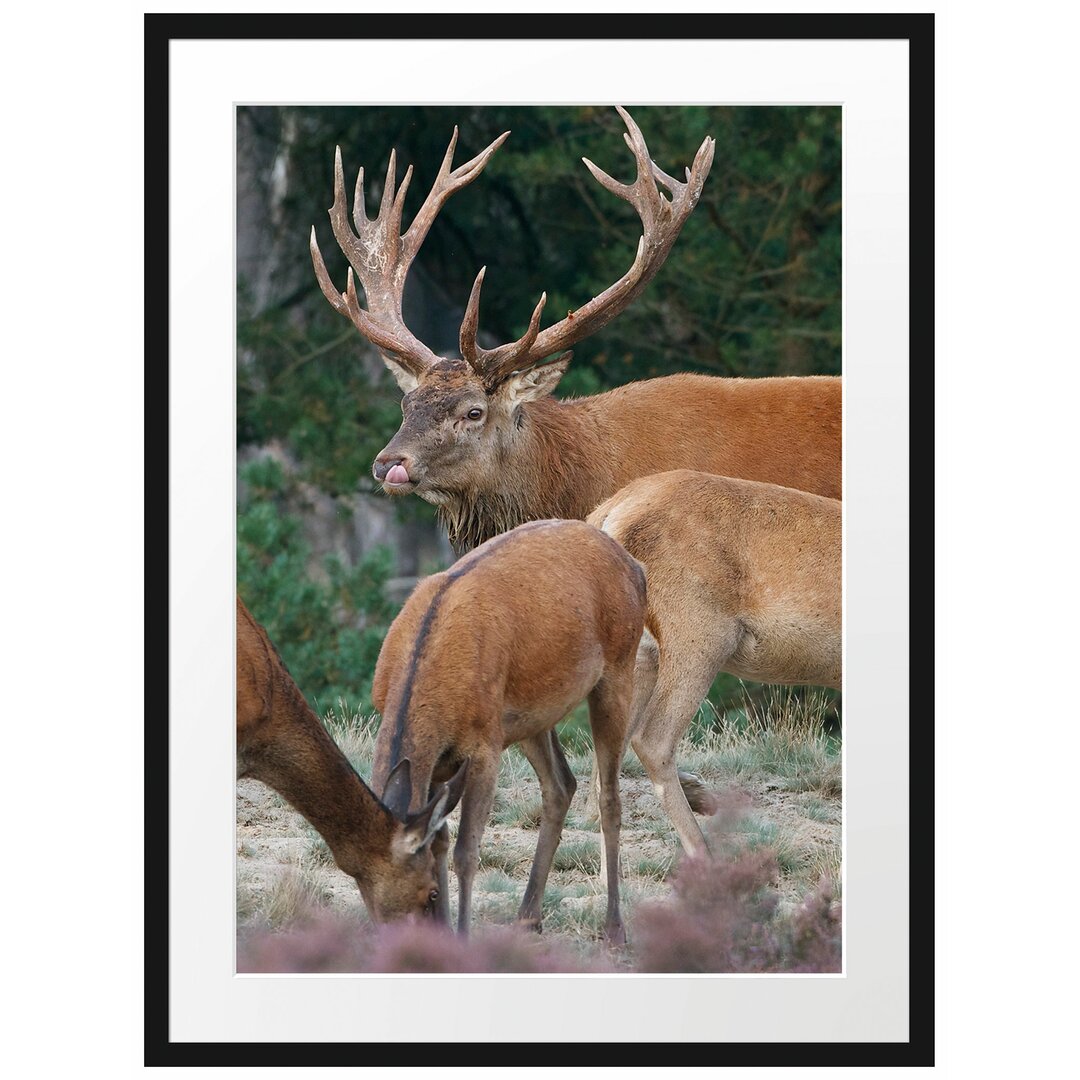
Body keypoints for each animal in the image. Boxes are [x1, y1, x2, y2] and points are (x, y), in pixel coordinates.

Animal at [371, 518, 643, 941]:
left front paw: (462, 936)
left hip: (617, 670)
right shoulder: (439, 765)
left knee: (609, 797)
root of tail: (635, 567)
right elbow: (439, 842)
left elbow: (467, 851)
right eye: (363, 887)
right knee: (561, 785)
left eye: (423, 892)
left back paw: (614, 929)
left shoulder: (485, 745)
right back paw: (528, 916)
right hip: (530, 717)